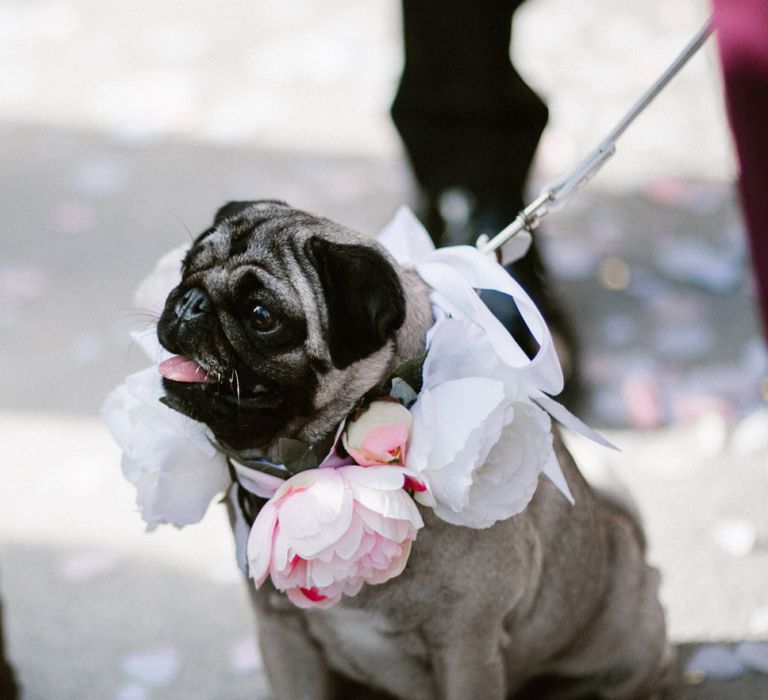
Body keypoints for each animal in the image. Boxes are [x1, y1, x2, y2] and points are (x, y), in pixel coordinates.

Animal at [154, 200, 672, 696]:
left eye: (263, 316)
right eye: (186, 267)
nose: (191, 301)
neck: (325, 468)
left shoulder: (467, 651)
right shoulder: (284, 638)